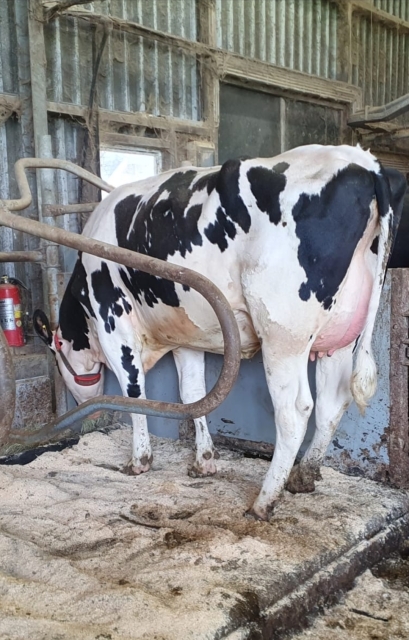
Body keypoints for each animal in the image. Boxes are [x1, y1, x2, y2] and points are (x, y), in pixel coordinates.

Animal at [33, 144, 407, 521]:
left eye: (57, 357)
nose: (84, 409)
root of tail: (362, 161)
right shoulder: (186, 335)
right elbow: (193, 393)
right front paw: (204, 461)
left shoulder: (113, 322)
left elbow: (134, 392)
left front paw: (139, 460)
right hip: (342, 332)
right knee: (333, 401)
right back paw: (304, 476)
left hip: (282, 331)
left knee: (296, 410)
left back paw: (264, 500)